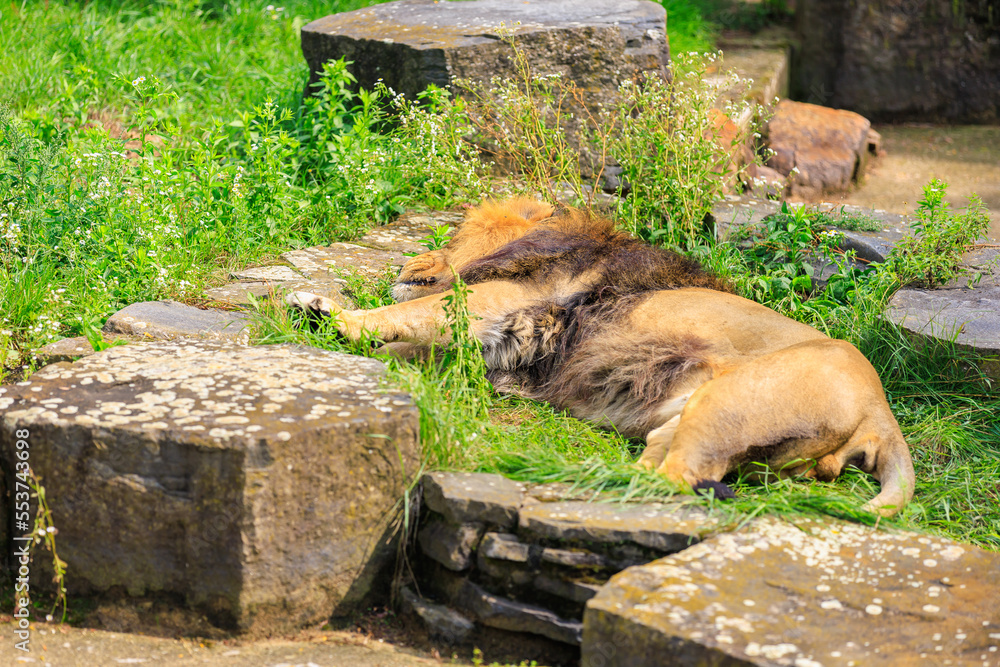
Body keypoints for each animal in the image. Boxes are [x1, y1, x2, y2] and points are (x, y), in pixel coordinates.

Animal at [289, 198, 915, 516]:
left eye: (452, 234)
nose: (405, 264)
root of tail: (881, 412)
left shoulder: (501, 303)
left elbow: (412, 314)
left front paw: (325, 311)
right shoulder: (504, 343)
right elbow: (412, 343)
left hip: (732, 400)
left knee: (680, 479)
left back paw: (562, 476)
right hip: (691, 416)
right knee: (669, 466)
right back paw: (579, 472)